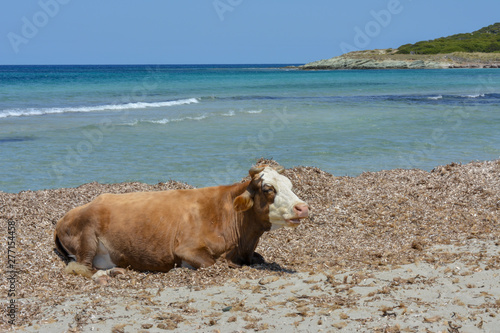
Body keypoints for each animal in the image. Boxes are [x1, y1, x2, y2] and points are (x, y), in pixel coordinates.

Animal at [52, 164, 306, 280]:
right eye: (268, 188)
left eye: (290, 185)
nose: (302, 207)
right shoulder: (186, 248)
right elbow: (211, 263)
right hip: (87, 237)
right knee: (81, 267)